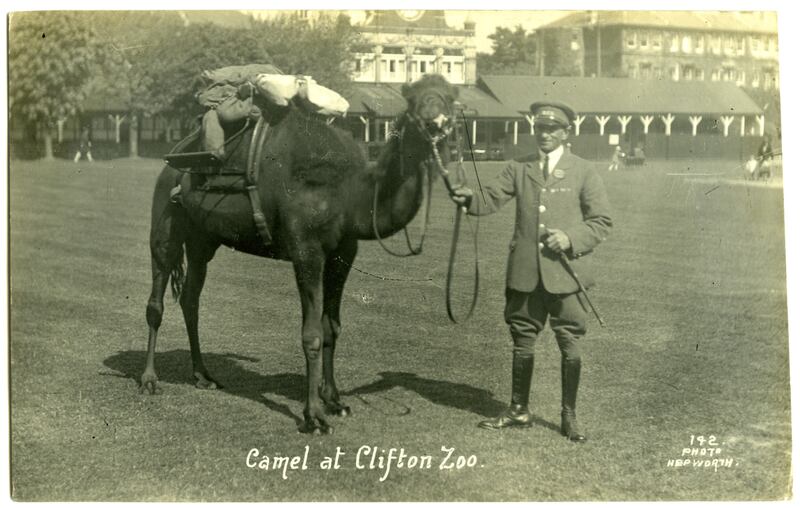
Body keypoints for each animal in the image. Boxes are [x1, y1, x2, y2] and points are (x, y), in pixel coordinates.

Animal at [141, 74, 460, 432]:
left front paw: (335, 400)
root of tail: (173, 160)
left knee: (191, 298)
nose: (435, 122)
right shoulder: (306, 250)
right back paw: (149, 379)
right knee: (156, 298)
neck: (348, 192)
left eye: (449, 98)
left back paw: (203, 376)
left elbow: (331, 327)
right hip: (166, 222)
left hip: (202, 239)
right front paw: (314, 416)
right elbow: (311, 334)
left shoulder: (343, 253)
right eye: (414, 100)